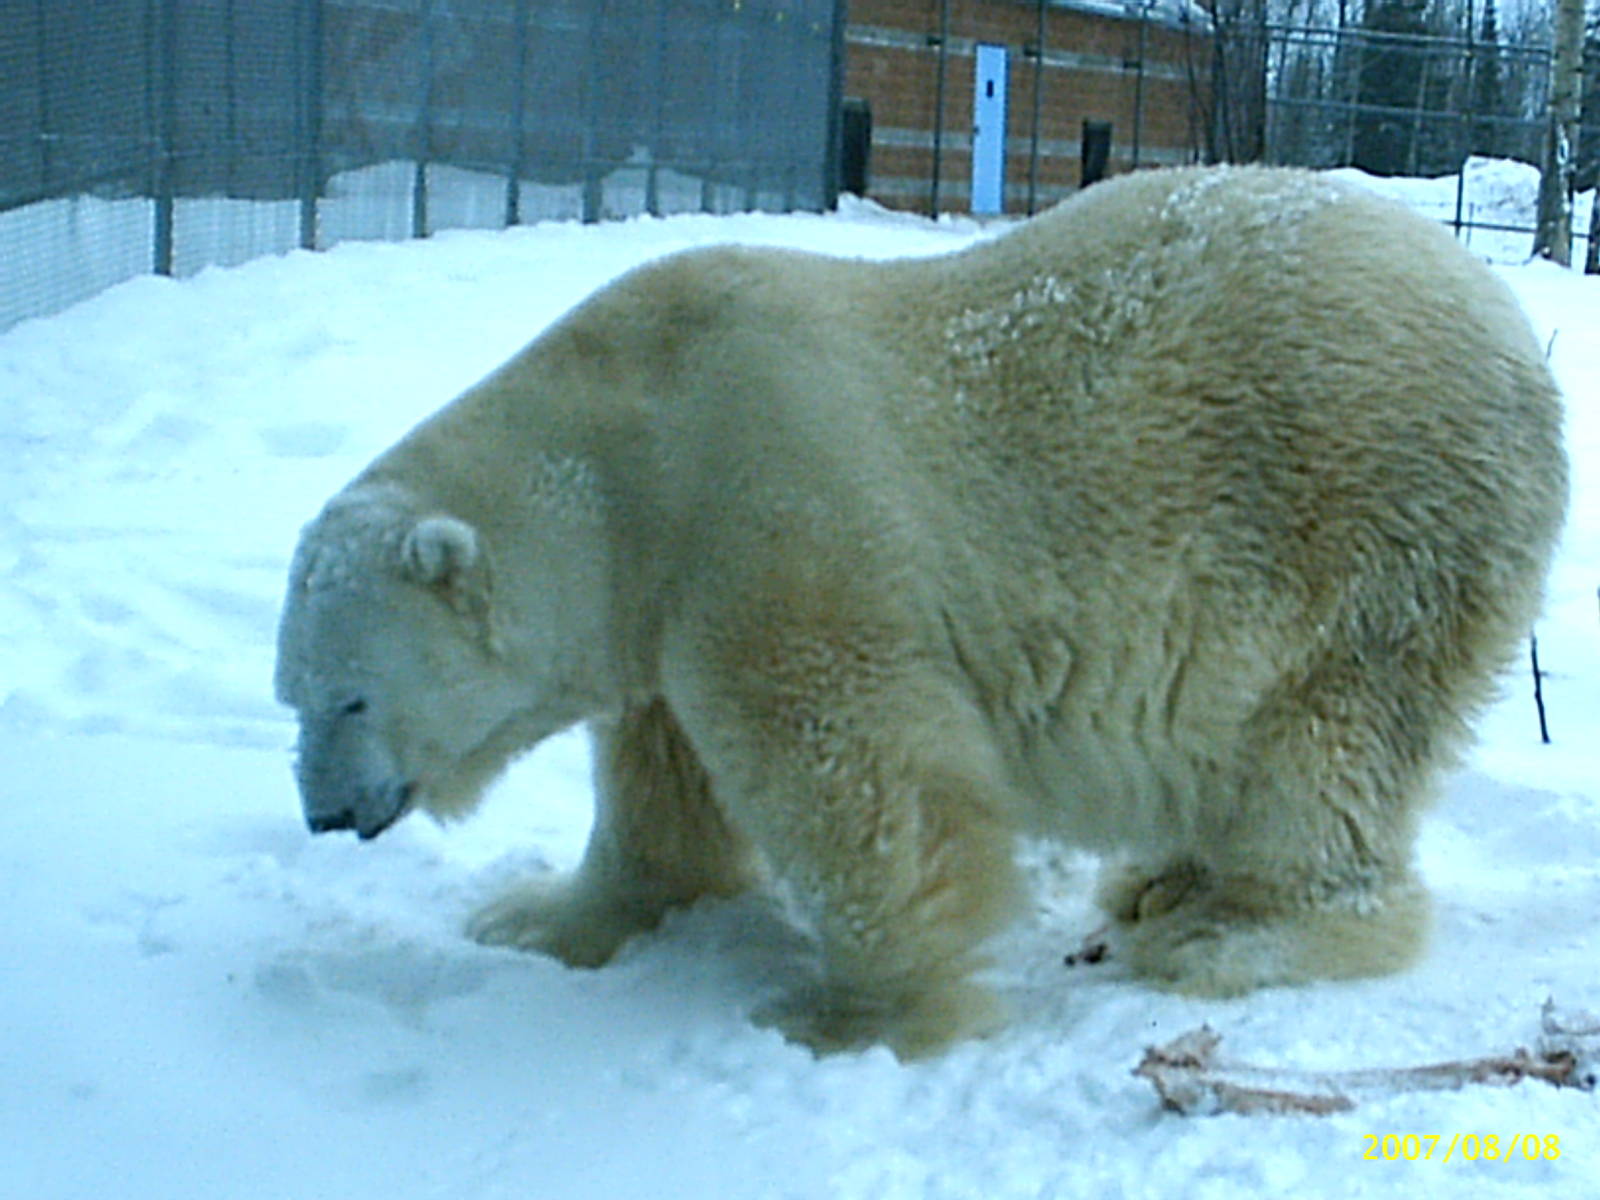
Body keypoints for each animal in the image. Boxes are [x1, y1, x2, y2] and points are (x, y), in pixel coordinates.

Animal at [274, 165, 1568, 1060]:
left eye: (352, 695)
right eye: (290, 695)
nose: (325, 815)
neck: (632, 435)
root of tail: (1517, 337)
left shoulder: (775, 525)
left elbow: (860, 783)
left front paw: (853, 1020)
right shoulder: (667, 592)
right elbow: (660, 784)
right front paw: (543, 918)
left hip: (1372, 528)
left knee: (1323, 756)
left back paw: (1229, 929)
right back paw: (1162, 883)